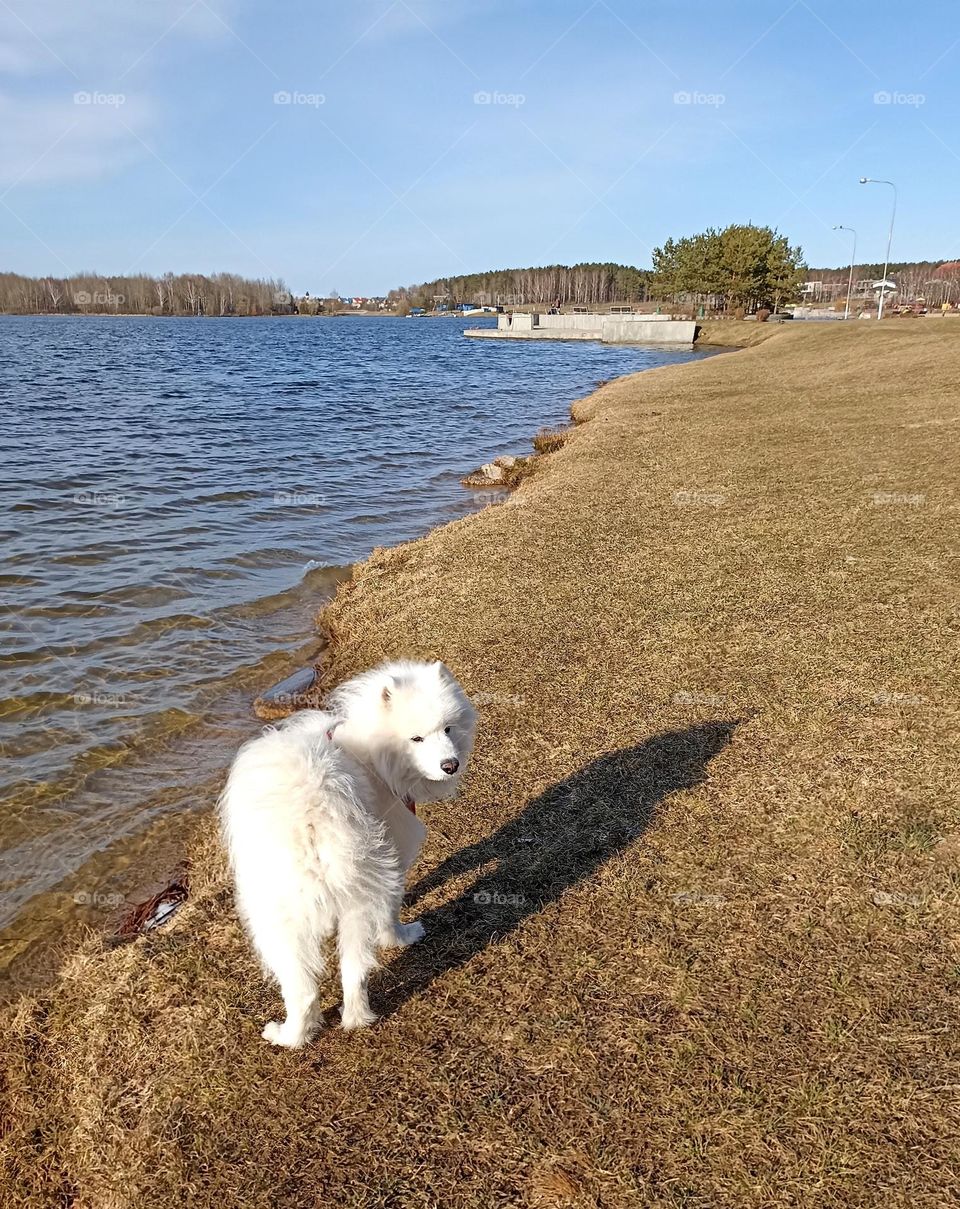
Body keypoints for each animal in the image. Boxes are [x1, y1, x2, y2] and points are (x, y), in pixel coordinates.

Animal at [221, 657, 473, 1044]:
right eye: (416, 738)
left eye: (448, 729)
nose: (451, 765)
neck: (369, 757)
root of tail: (311, 820)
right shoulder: (396, 850)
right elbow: (394, 908)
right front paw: (401, 932)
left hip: (286, 916)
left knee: (317, 984)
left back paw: (301, 1033)